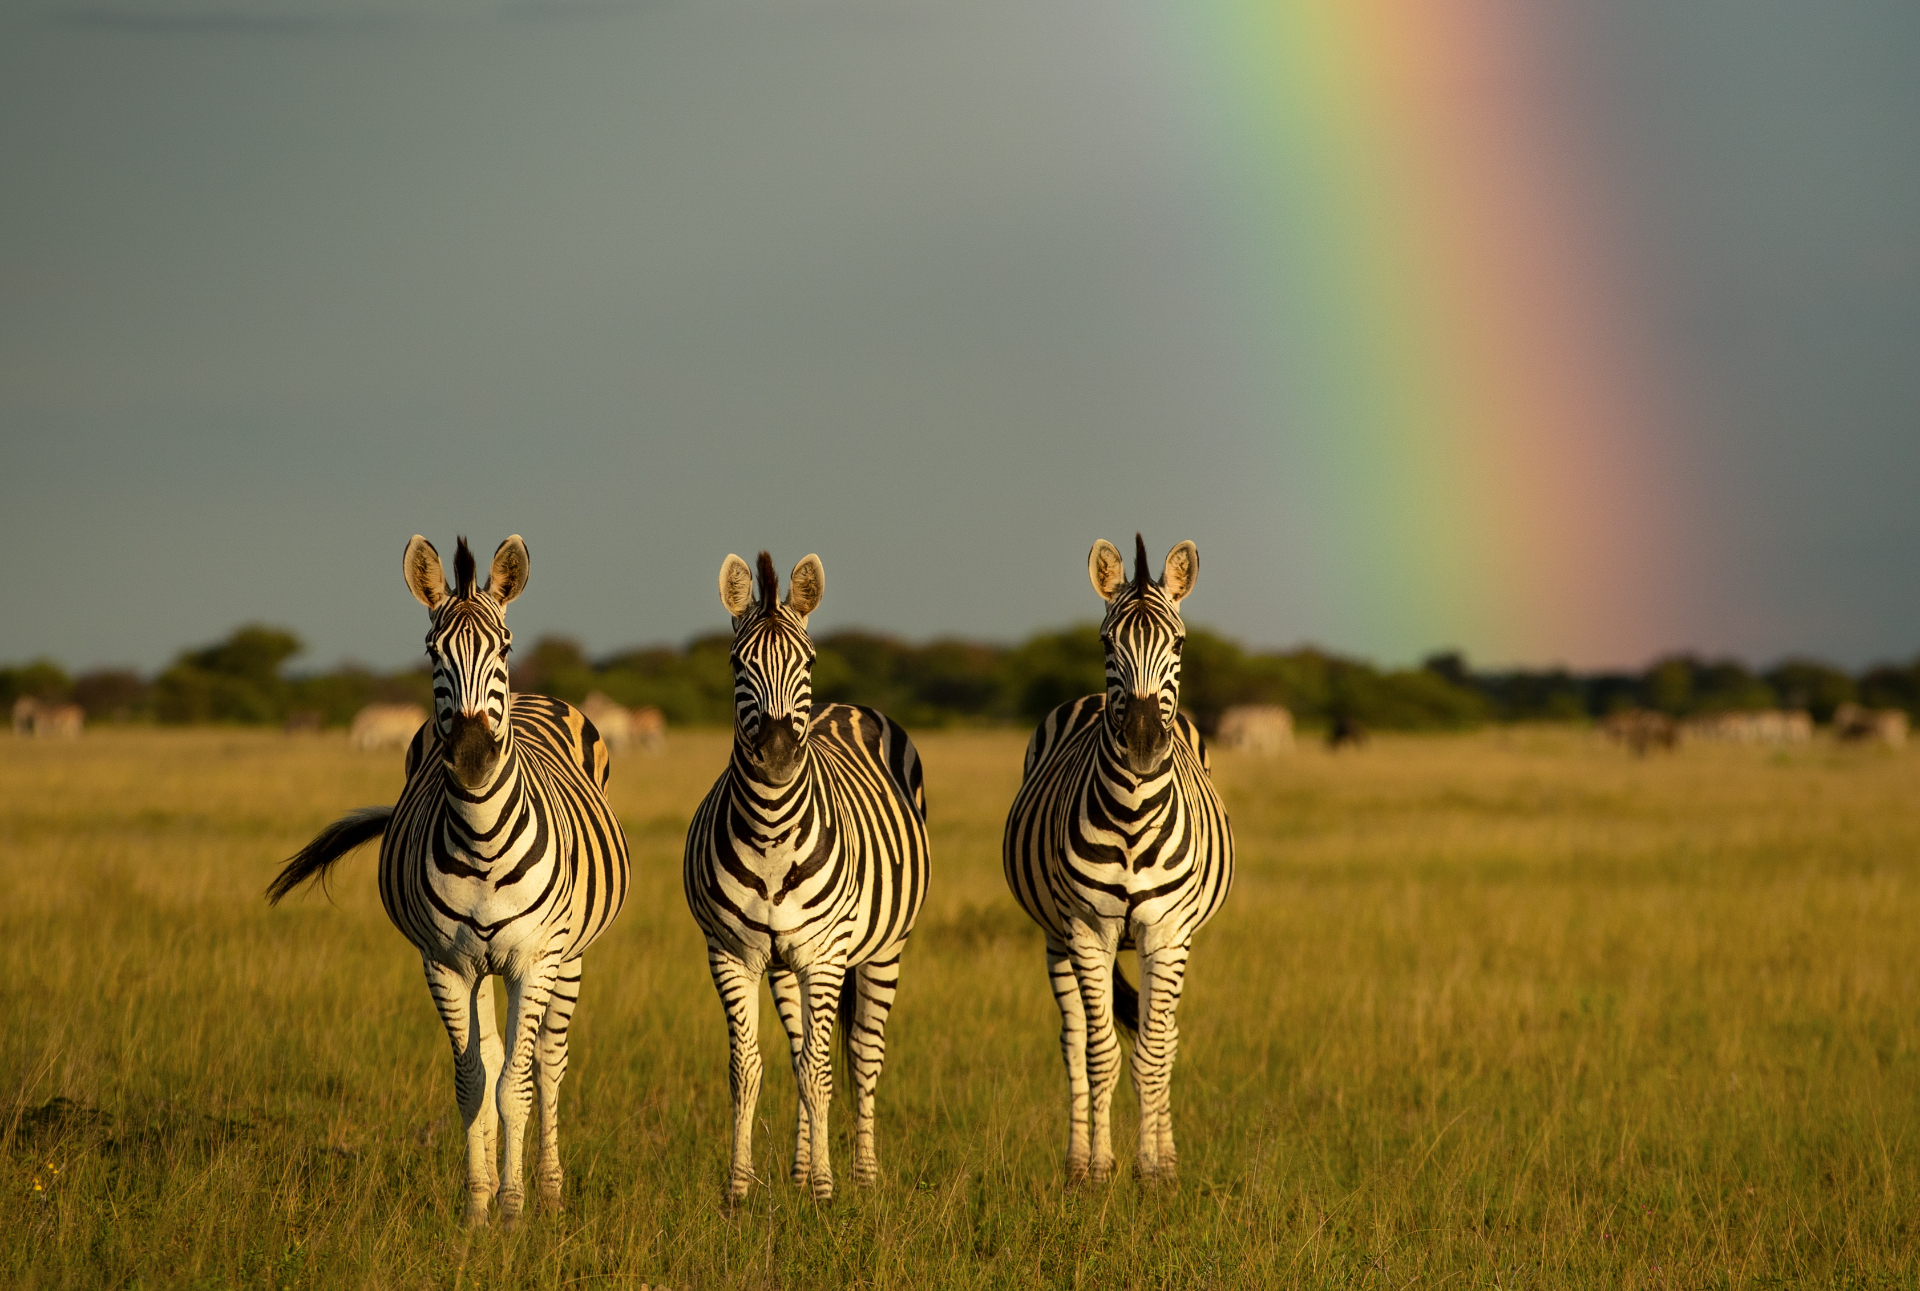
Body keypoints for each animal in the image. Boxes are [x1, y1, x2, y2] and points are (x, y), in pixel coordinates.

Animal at [267, 535, 630, 1226]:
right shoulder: (444, 963)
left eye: (506, 647)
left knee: (548, 1066)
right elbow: (473, 1081)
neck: (482, 840)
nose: (470, 757)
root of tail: (538, 699)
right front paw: (477, 1209)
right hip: (481, 968)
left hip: (568, 958)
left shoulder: (532, 960)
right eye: (432, 651)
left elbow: (516, 1083)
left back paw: (551, 1193)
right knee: (490, 1056)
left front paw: (514, 1211)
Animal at [684, 551, 930, 1205]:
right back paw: (795, 1173)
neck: (770, 835)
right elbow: (748, 1068)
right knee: (798, 1053)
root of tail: (842, 707)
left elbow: (822, 1069)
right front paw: (739, 1190)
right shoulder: (730, 954)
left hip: (881, 949)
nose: (775, 756)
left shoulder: (823, 954)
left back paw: (862, 1177)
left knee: (862, 1056)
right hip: (783, 965)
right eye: (736, 663)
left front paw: (825, 1190)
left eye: (809, 661)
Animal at [1002, 534, 1234, 1186]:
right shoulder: (1089, 930)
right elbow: (1101, 1052)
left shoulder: (1168, 933)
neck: (1131, 816)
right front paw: (1103, 1169)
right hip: (1056, 939)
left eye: (1179, 643)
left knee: (1168, 1038)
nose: (1143, 744)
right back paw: (1078, 1162)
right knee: (1074, 1040)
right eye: (1107, 644)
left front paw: (1154, 1171)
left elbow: (1153, 1053)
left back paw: (1167, 1155)